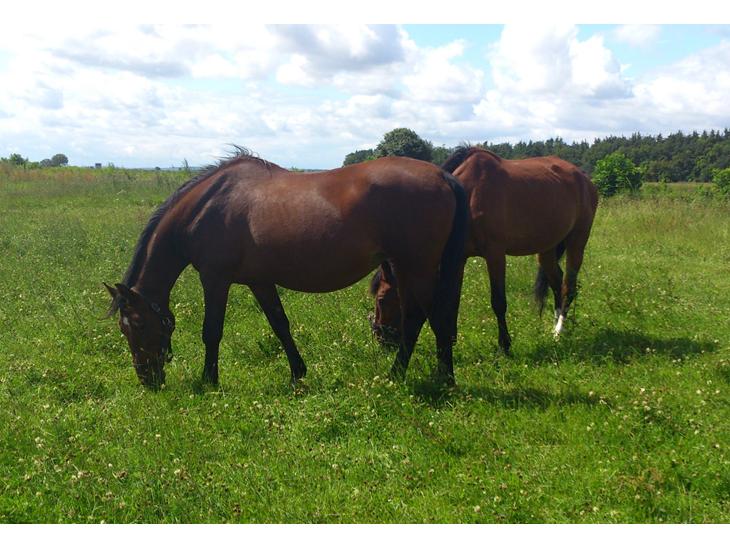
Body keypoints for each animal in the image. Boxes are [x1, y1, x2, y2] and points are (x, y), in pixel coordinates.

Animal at [105, 147, 467, 388]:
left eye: (137, 324)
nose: (147, 379)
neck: (205, 208)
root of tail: (442, 176)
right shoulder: (260, 281)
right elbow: (280, 325)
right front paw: (298, 373)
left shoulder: (215, 280)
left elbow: (212, 331)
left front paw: (209, 380)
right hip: (408, 268)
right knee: (421, 317)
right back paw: (412, 374)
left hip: (416, 266)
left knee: (428, 316)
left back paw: (431, 377)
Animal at [369, 145, 598, 353]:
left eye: (381, 299)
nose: (380, 338)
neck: (467, 197)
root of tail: (583, 177)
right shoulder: (460, 258)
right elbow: (453, 301)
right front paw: (451, 339)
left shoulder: (495, 254)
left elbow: (498, 302)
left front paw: (504, 346)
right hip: (547, 250)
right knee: (557, 284)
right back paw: (557, 327)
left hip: (577, 241)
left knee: (568, 286)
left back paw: (559, 331)